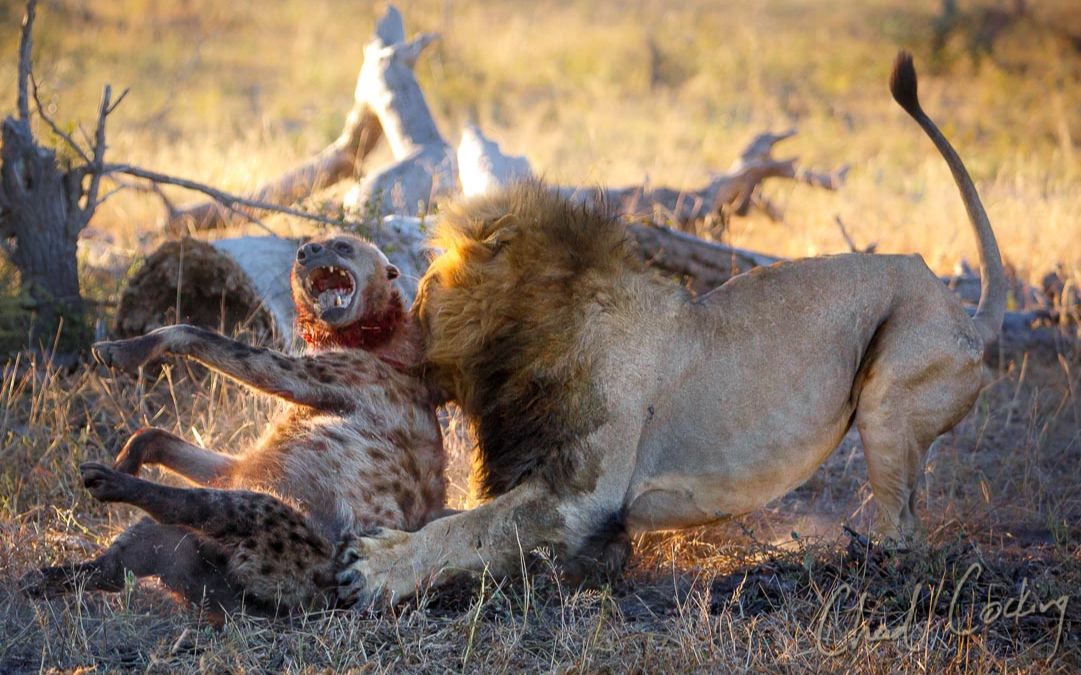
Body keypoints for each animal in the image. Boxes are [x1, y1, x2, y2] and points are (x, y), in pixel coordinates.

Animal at [25, 234, 447, 614]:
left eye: (343, 247)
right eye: (314, 246)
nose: (306, 251)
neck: (371, 338)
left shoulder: (317, 376)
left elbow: (195, 332)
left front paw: (121, 350)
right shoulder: (246, 463)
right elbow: (160, 436)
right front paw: (128, 457)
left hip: (284, 532)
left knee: (199, 504)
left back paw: (107, 481)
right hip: (182, 546)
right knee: (123, 563)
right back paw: (43, 578)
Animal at [335, 51, 1003, 601]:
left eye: (423, 283)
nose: (399, 301)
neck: (523, 341)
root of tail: (967, 314)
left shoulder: (578, 497)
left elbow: (468, 528)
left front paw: (375, 566)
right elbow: (468, 521)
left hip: (891, 397)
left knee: (905, 534)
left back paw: (846, 569)